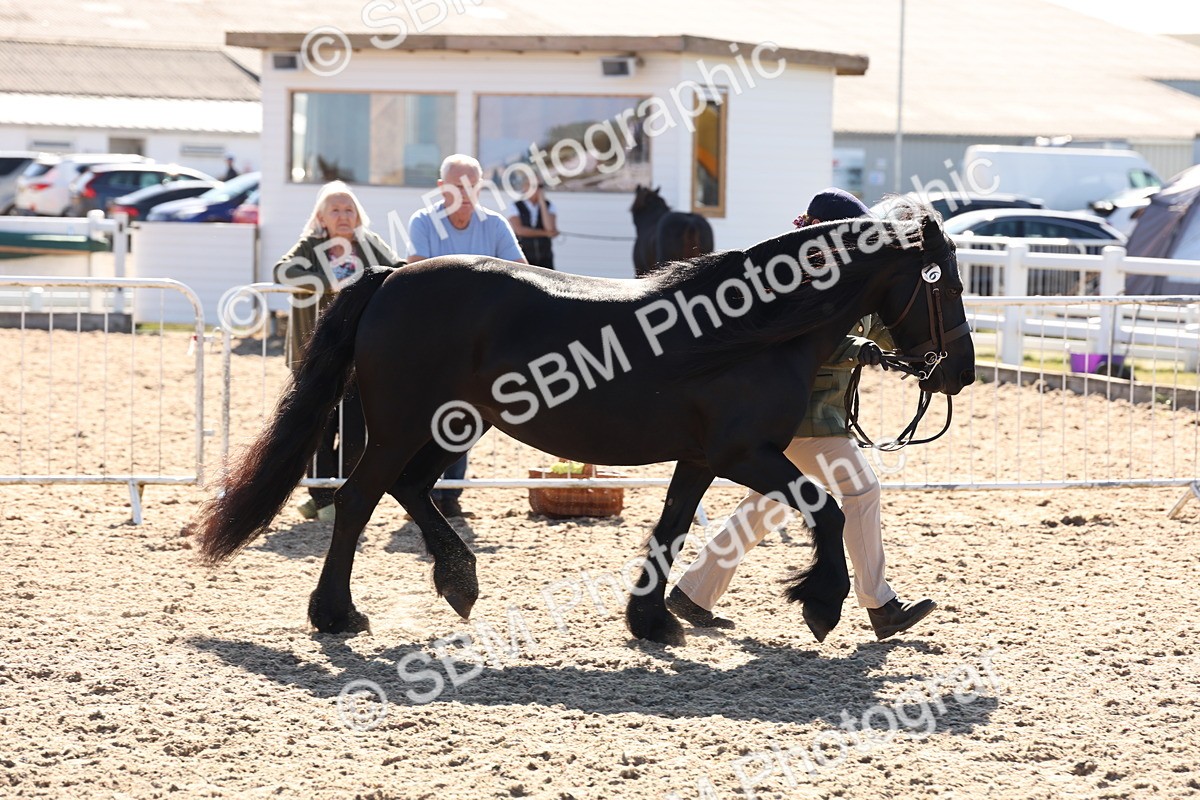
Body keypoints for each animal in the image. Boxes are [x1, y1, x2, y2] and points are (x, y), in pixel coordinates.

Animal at [195, 204, 975, 647]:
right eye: (948, 284)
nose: (960, 371)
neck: (751, 330)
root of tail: (390, 275)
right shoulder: (744, 453)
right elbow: (826, 511)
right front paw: (820, 603)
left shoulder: (703, 457)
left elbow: (672, 525)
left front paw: (653, 621)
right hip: (400, 425)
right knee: (360, 499)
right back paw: (336, 613)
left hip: (454, 426)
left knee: (412, 490)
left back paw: (459, 581)